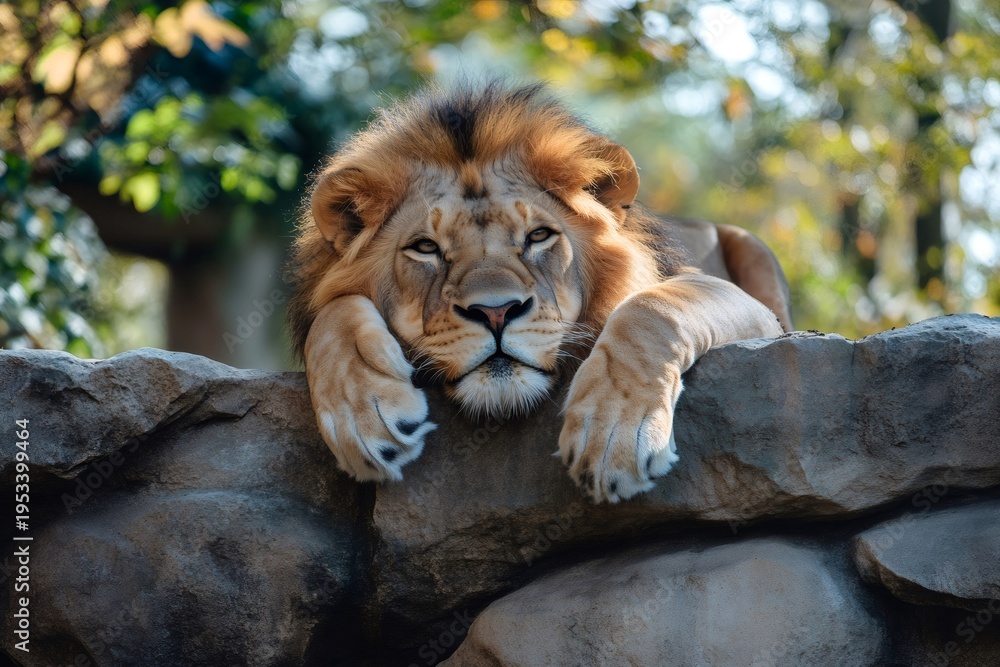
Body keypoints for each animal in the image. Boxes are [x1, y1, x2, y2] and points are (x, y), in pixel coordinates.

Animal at [287, 81, 791, 503]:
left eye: (538, 236)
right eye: (426, 248)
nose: (496, 312)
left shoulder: (758, 316)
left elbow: (652, 308)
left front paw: (613, 434)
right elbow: (333, 312)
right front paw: (362, 414)